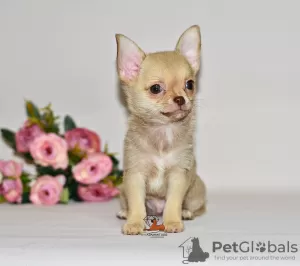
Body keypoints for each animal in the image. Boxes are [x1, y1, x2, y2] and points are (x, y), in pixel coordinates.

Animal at [115, 25, 206, 235]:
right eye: (156, 88)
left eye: (190, 85)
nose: (180, 98)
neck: (164, 131)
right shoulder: (135, 176)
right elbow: (137, 204)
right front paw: (134, 223)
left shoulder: (179, 175)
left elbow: (173, 202)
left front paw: (172, 221)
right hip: (122, 188)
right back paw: (124, 212)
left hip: (197, 189)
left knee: (196, 207)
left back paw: (186, 212)